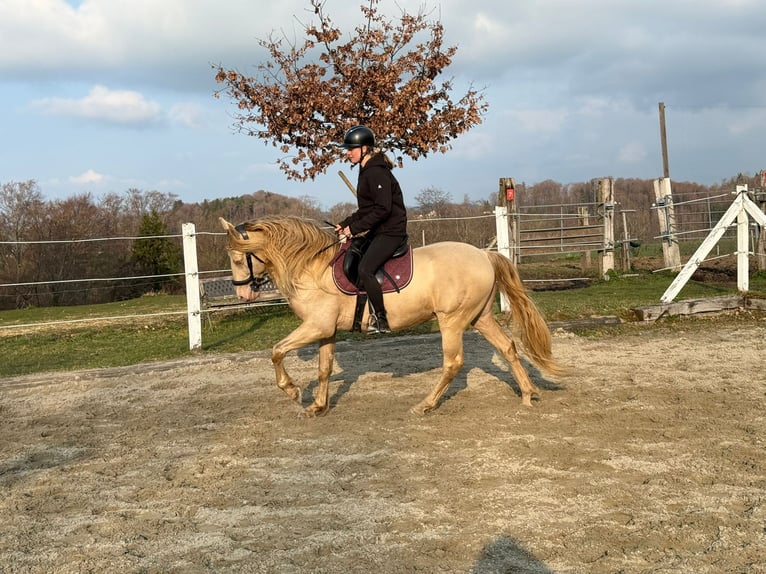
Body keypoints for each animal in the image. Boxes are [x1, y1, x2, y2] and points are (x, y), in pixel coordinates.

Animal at [219, 215, 562, 417]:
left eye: (237, 258)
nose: (243, 295)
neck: (311, 269)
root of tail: (484, 255)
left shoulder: (315, 326)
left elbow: (276, 351)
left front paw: (291, 390)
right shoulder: (326, 330)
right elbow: (324, 369)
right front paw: (318, 405)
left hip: (452, 320)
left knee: (453, 363)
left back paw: (426, 404)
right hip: (480, 317)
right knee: (508, 348)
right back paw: (527, 394)